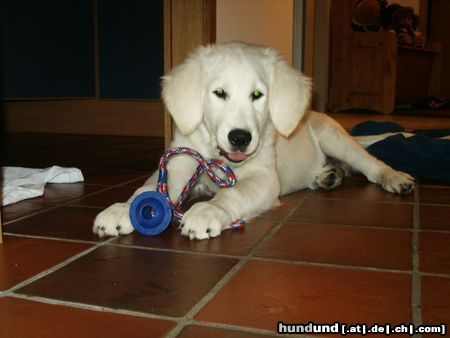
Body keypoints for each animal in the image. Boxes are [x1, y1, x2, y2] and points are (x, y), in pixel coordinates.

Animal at [93, 43, 414, 240]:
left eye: (258, 95)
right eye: (219, 93)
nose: (240, 138)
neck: (217, 157)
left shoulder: (264, 178)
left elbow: (233, 193)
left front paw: (208, 210)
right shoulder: (179, 163)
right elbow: (149, 187)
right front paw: (123, 209)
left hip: (333, 137)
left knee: (370, 164)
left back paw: (395, 178)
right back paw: (328, 175)